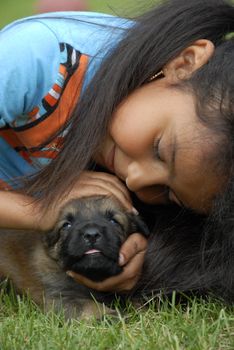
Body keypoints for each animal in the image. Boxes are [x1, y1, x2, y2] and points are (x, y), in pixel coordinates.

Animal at [0, 196, 149, 318]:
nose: (91, 234)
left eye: (113, 221)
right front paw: (108, 315)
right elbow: (88, 305)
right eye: (67, 225)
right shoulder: (61, 297)